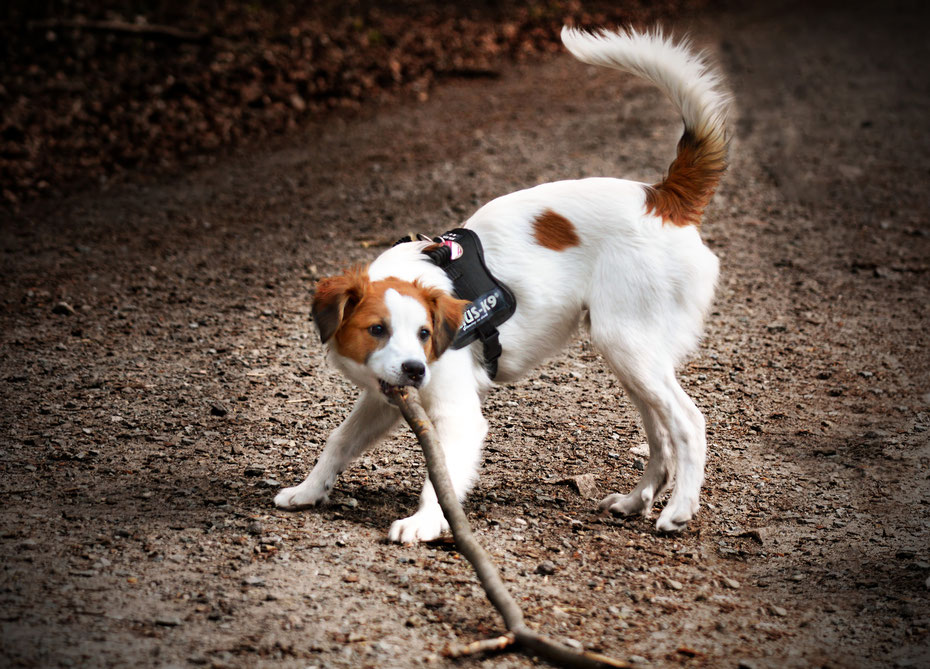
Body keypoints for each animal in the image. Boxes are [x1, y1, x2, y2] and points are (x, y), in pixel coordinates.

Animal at [272, 27, 728, 544]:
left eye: (425, 333)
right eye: (377, 330)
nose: (414, 369)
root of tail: (663, 197)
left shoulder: (456, 414)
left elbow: (442, 474)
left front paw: (425, 522)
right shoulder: (384, 397)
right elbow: (340, 439)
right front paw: (309, 490)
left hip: (628, 345)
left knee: (689, 423)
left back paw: (679, 509)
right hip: (632, 356)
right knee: (660, 435)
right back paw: (637, 501)